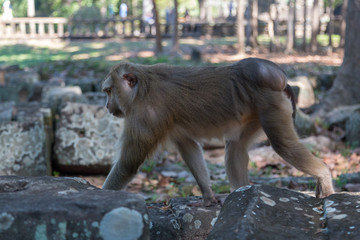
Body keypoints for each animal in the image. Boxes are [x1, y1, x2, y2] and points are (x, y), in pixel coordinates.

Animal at [100, 57, 332, 205]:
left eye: (109, 91)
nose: (107, 105)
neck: (141, 90)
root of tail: (281, 81)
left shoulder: (145, 116)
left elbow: (128, 165)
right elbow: (188, 146)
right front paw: (208, 195)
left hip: (271, 104)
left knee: (283, 145)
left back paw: (323, 173)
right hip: (254, 112)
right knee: (236, 147)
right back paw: (241, 193)